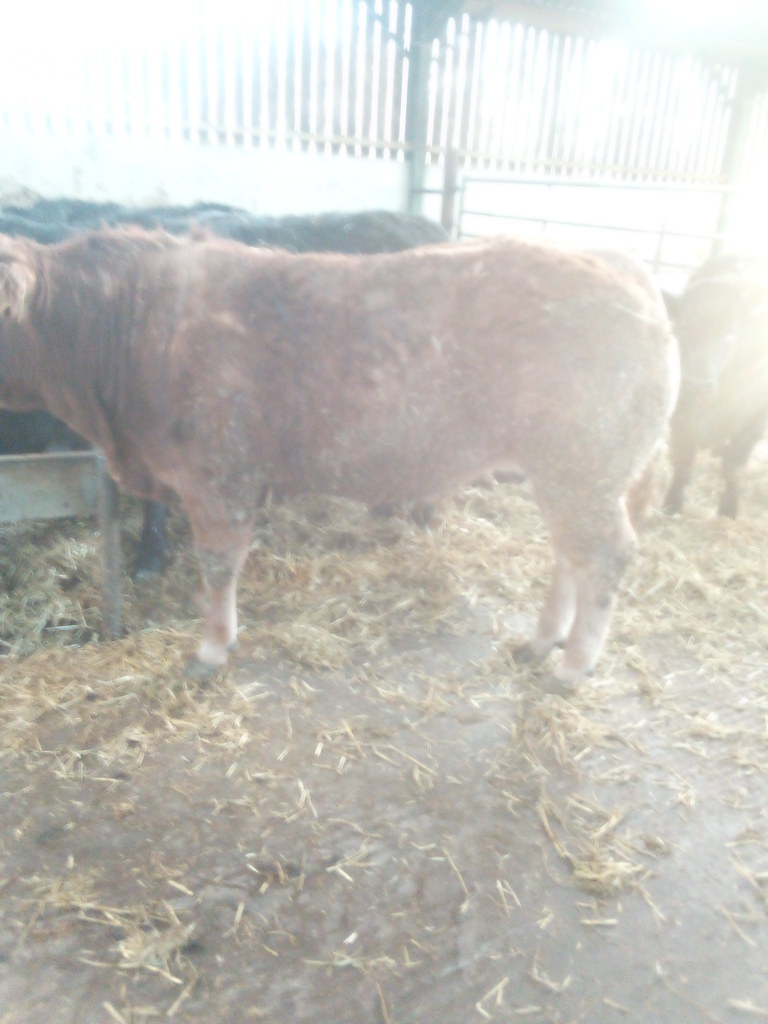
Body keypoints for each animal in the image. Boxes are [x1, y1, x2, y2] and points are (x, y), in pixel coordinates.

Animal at [0, 228, 677, 687]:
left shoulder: (217, 477)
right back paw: (541, 642)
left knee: (605, 556)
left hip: (583, 467)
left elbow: (218, 565)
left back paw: (571, 667)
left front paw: (211, 649)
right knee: (572, 555)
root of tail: (619, 268)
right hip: (569, 473)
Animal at [664, 254, 768, 517]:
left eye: (729, 334)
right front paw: (673, 502)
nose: (695, 382)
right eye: (683, 327)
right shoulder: (682, 417)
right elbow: (683, 460)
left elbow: (734, 467)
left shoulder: (754, 421)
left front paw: (729, 509)